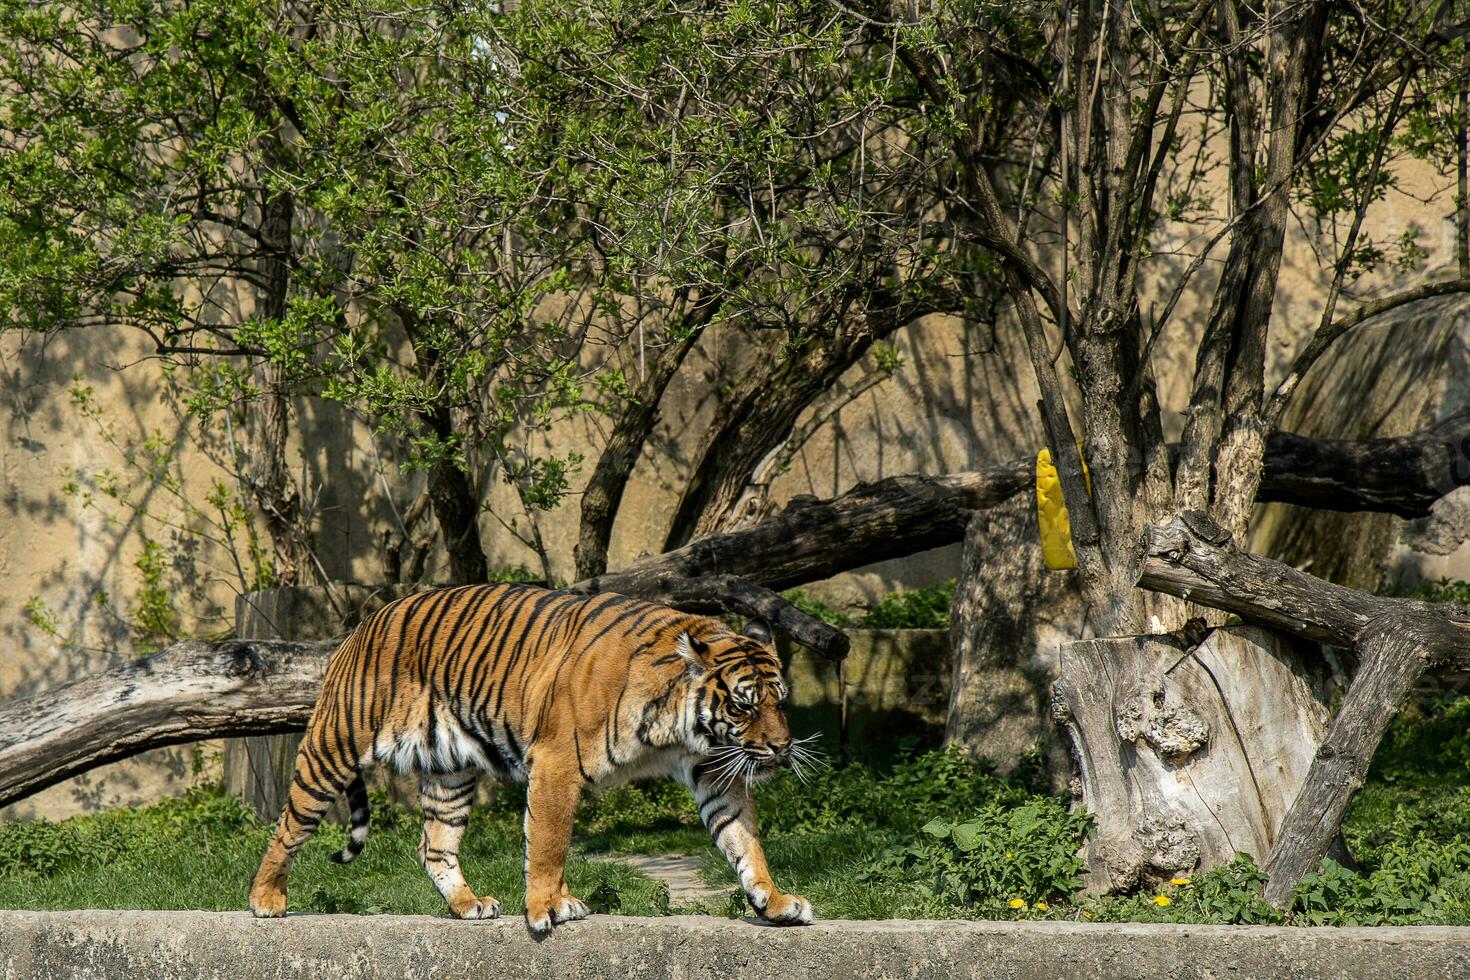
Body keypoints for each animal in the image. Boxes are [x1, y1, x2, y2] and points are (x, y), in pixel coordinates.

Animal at [245, 581, 811, 934]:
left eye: (779, 701)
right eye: (743, 704)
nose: (781, 747)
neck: (678, 726)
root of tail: (361, 625)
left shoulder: (715, 770)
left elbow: (743, 841)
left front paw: (777, 903)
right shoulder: (559, 762)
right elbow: (548, 843)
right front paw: (545, 909)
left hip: (451, 773)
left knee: (434, 845)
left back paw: (469, 905)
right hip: (333, 747)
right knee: (288, 825)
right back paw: (265, 900)